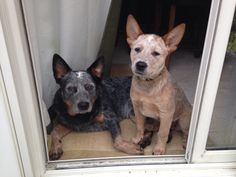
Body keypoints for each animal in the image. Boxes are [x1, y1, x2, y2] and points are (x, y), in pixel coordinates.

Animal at [127, 14, 192, 154]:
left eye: (156, 53)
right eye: (137, 49)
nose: (140, 65)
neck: (147, 86)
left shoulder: (166, 114)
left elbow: (163, 133)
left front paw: (159, 149)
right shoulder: (137, 108)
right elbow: (140, 125)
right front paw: (138, 138)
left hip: (183, 120)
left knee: (186, 132)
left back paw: (185, 143)